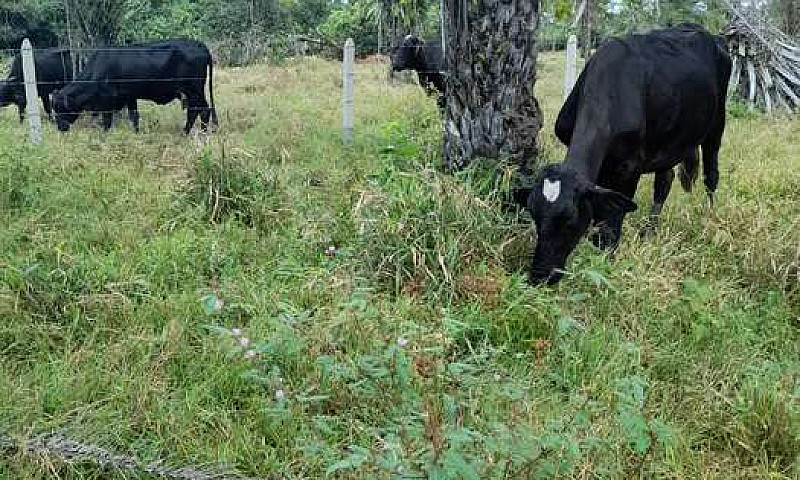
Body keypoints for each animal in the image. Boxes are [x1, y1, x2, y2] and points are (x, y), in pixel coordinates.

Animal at [52, 39, 217, 132]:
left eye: (60, 108)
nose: (60, 128)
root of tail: (200, 45)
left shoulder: (107, 99)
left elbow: (107, 121)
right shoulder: (130, 96)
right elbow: (134, 117)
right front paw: (136, 132)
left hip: (194, 90)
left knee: (202, 110)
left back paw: (195, 133)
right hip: (190, 93)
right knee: (195, 110)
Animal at [512, 23, 732, 284]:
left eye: (569, 219)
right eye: (534, 214)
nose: (540, 277)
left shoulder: (629, 167)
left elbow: (613, 215)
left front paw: (606, 257)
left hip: (717, 123)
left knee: (711, 174)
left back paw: (710, 219)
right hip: (669, 140)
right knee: (664, 181)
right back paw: (649, 231)